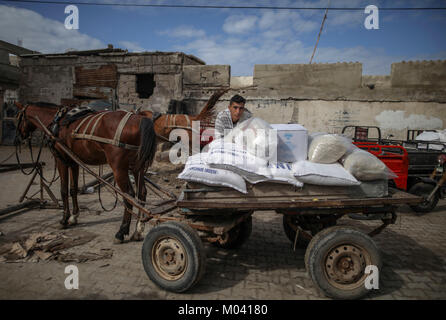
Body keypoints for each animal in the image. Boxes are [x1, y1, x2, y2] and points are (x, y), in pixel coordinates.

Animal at [15, 102, 157, 242]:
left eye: (18, 117)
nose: (19, 137)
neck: (57, 121)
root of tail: (139, 119)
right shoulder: (73, 162)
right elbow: (73, 189)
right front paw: (74, 217)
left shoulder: (61, 160)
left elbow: (63, 190)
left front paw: (64, 219)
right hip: (137, 167)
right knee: (142, 193)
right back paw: (138, 230)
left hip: (119, 167)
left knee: (129, 195)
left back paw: (121, 232)